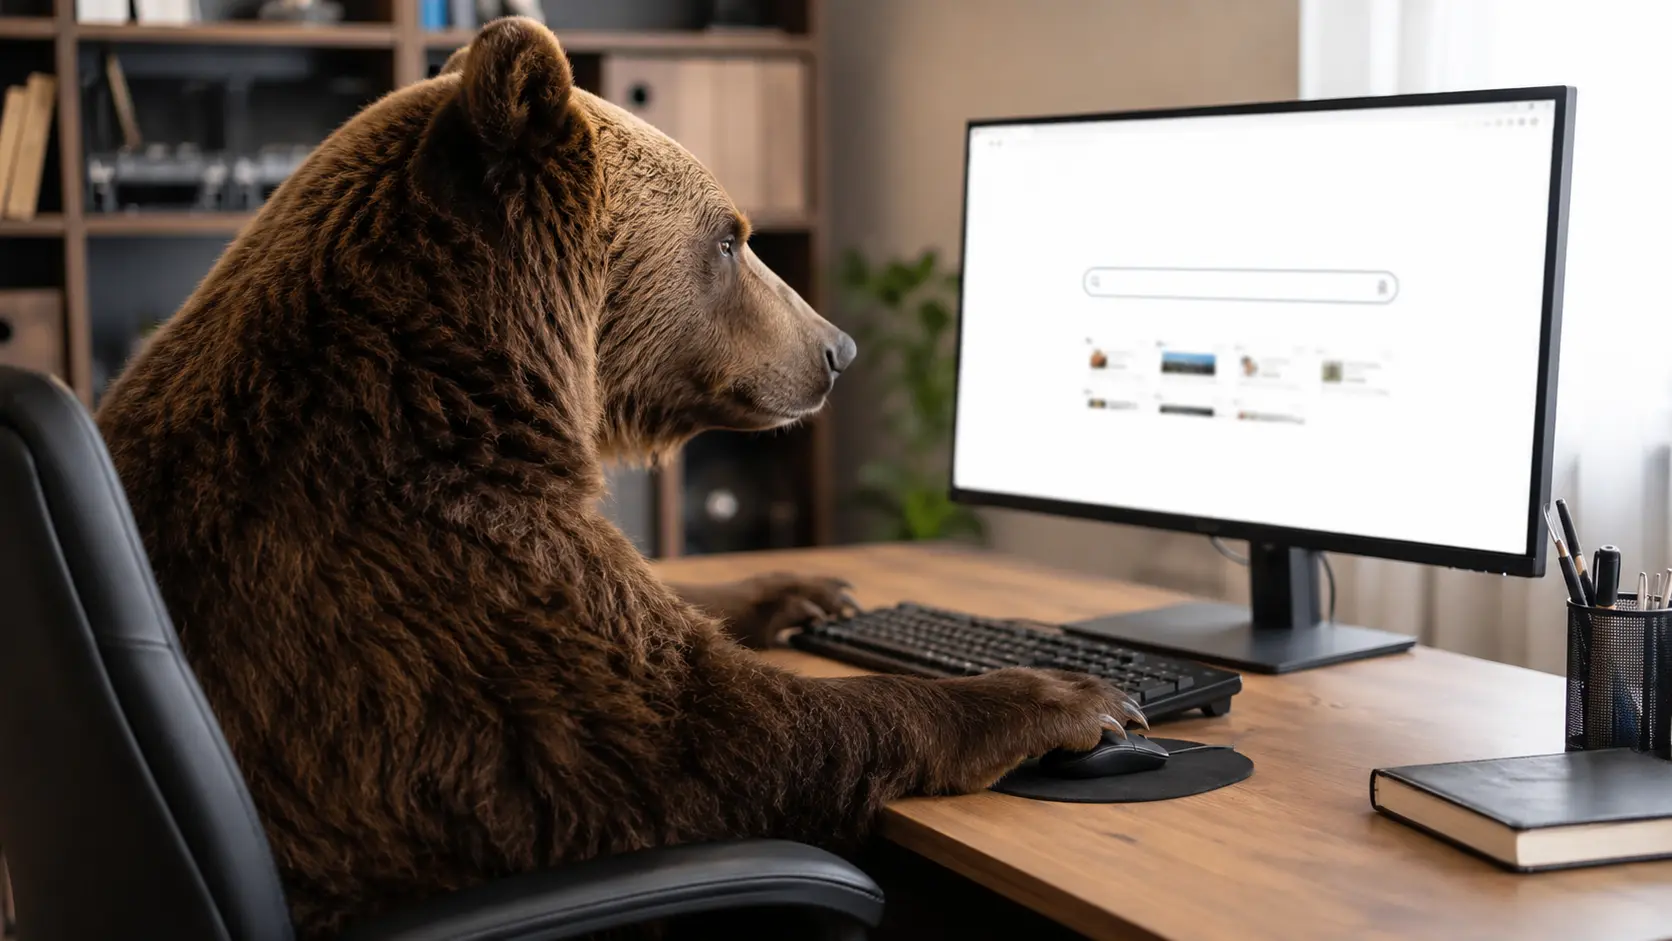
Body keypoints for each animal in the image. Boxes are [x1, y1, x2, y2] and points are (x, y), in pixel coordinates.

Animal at [92, 17, 1143, 939]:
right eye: (730, 239)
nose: (835, 348)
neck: (475, 376)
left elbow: (663, 606)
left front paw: (805, 587)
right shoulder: (428, 581)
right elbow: (716, 735)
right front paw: (1067, 692)